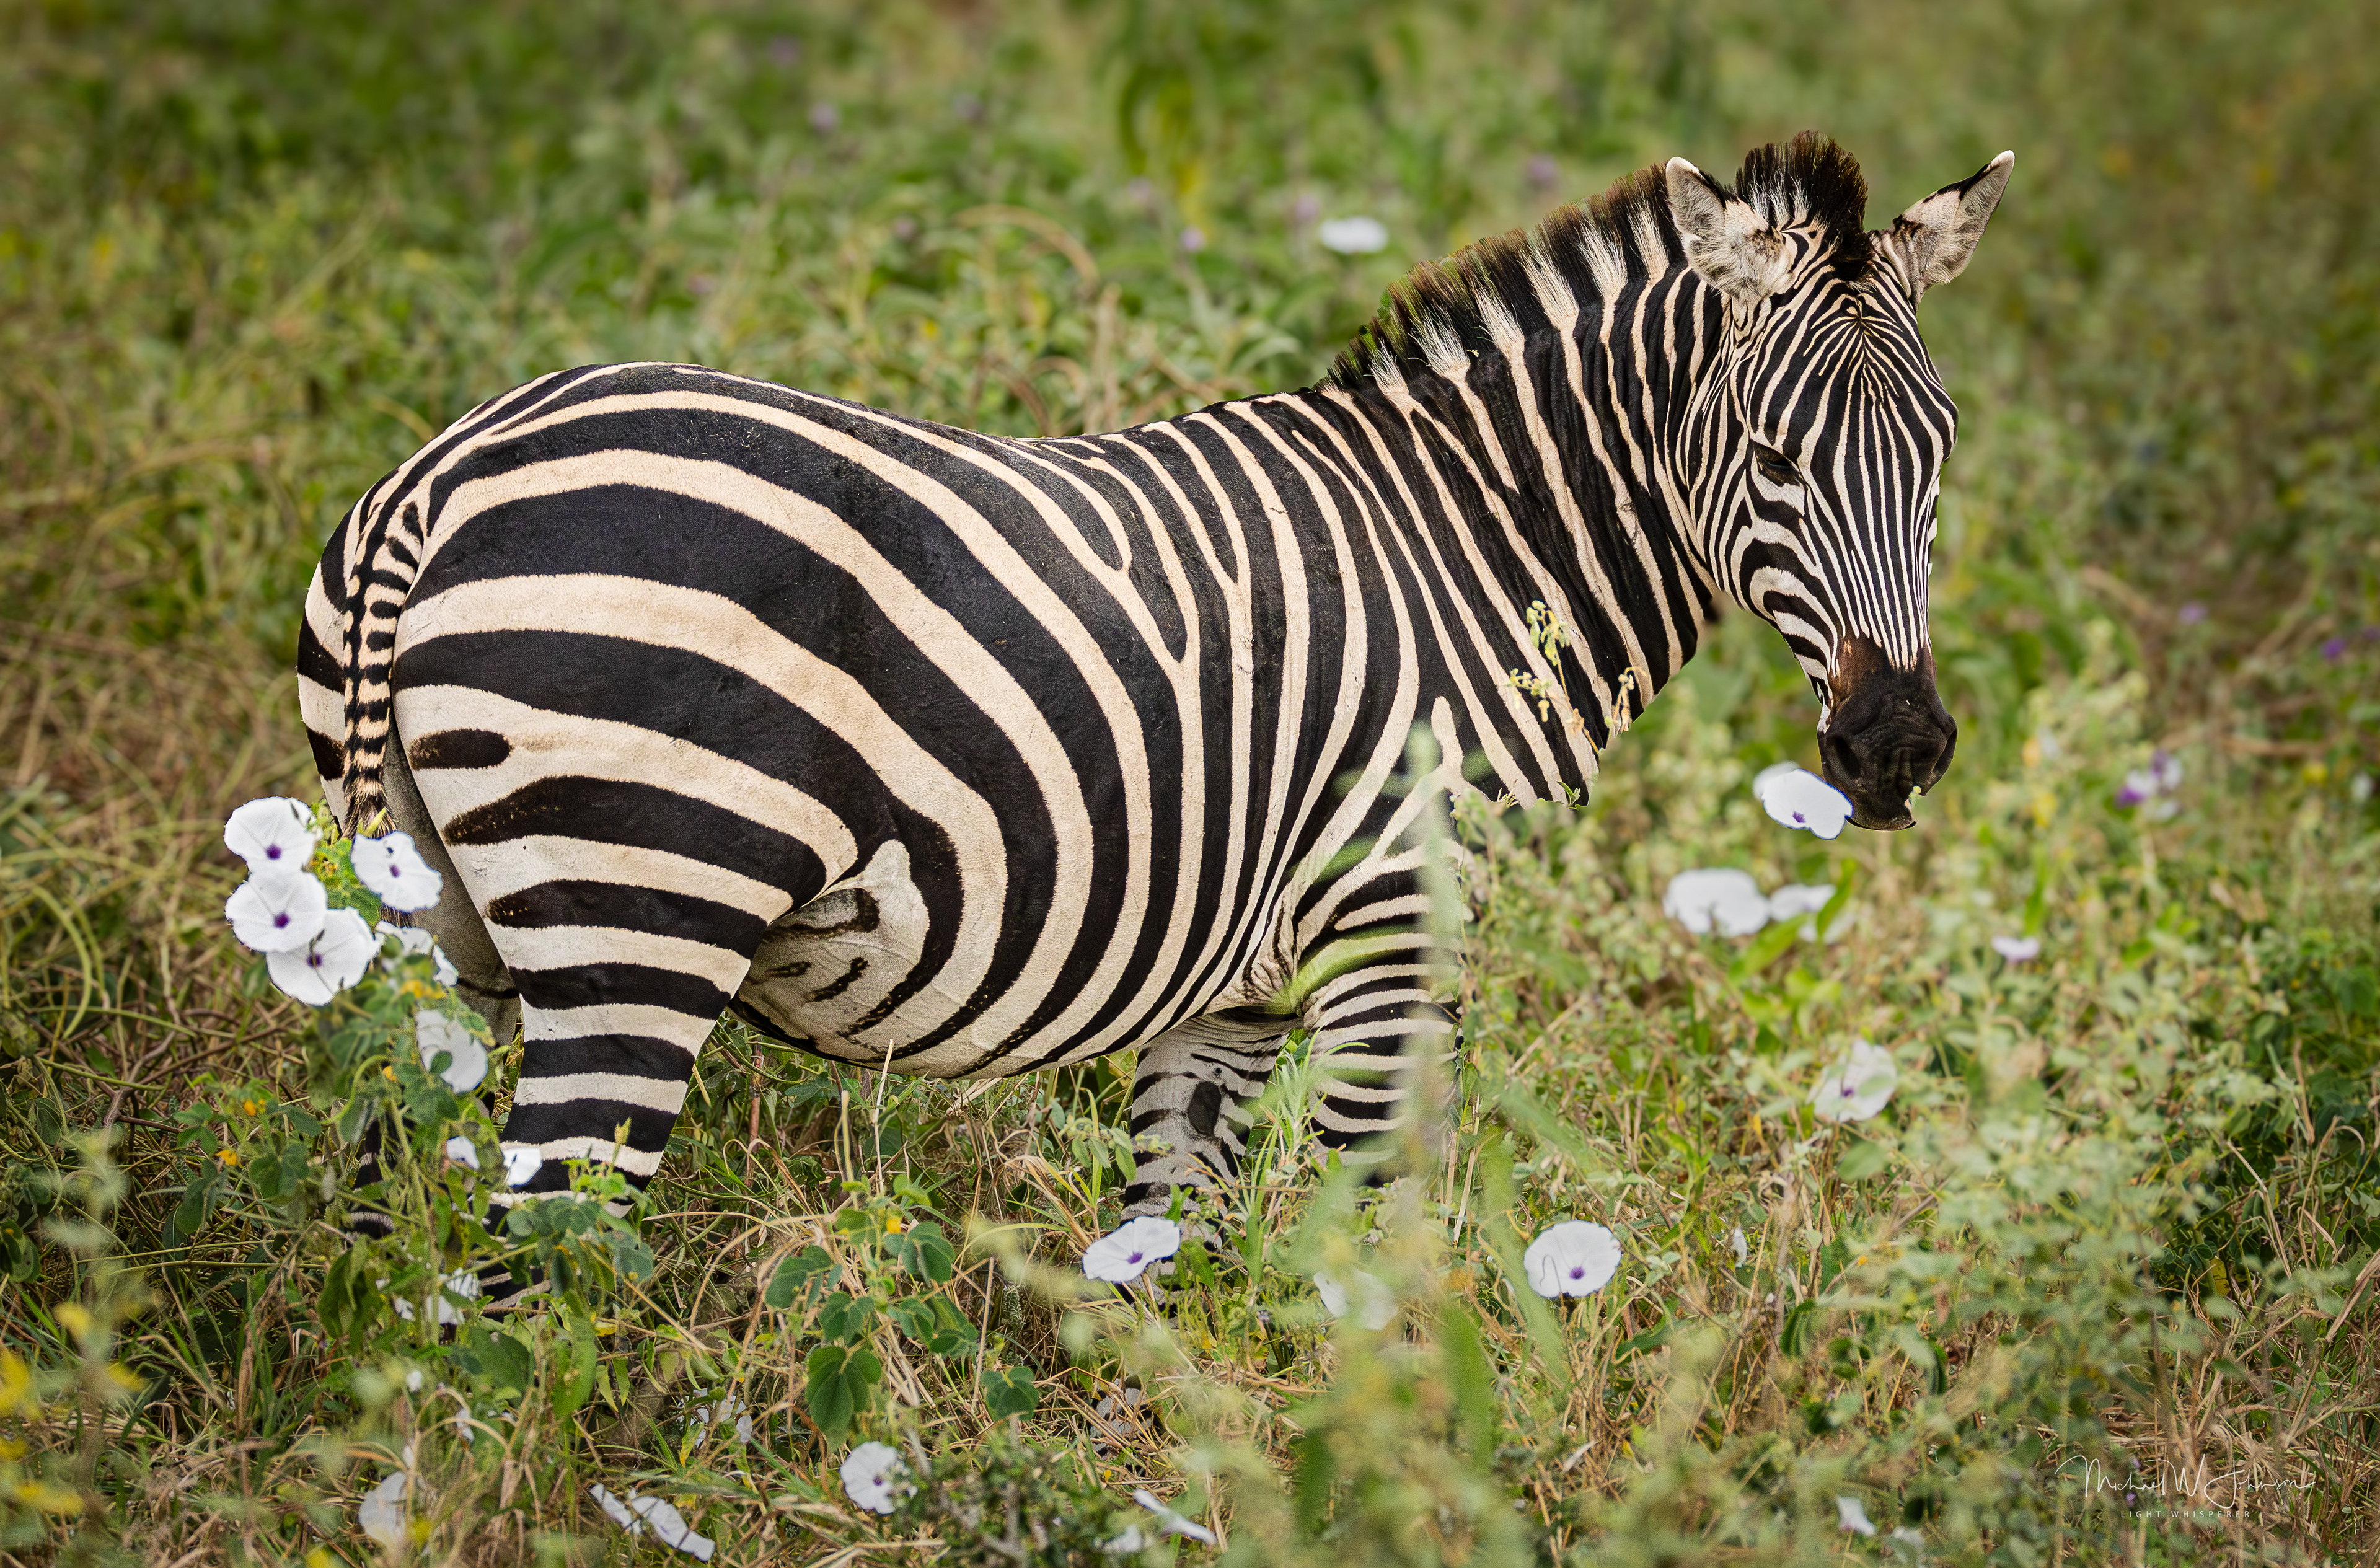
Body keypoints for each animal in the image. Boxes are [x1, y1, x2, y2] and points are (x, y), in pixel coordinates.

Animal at [297, 133, 2010, 1245]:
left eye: (1940, 460)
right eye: (1773, 458)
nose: (1896, 748)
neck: (1473, 546)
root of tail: (446, 477)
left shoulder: (1229, 997)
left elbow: (1165, 1271)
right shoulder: (1393, 932)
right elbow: (1355, 1265)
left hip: (437, 935)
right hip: (637, 918)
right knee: (524, 1275)